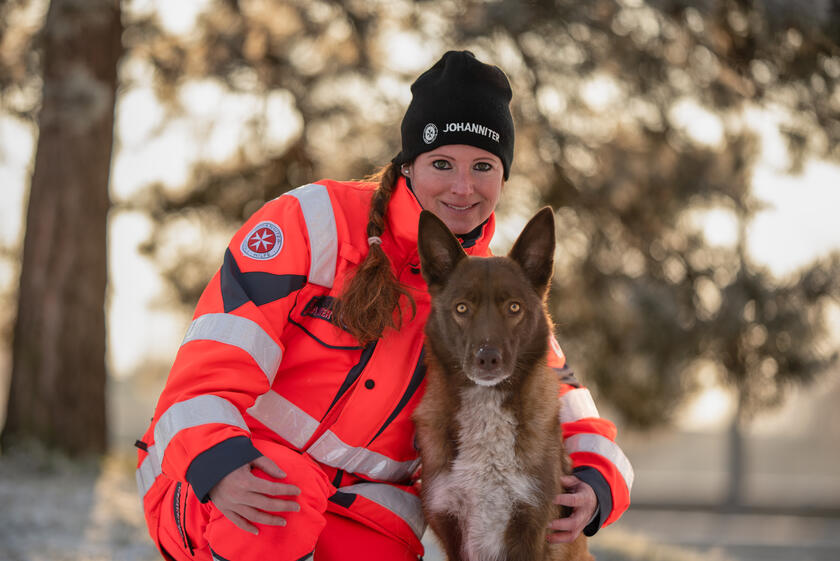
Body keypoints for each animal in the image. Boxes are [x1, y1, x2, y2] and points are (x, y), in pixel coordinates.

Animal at [414, 208, 592, 556]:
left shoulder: (532, 530)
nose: (487, 358)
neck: (486, 403)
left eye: (514, 307)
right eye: (462, 308)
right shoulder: (452, 531)